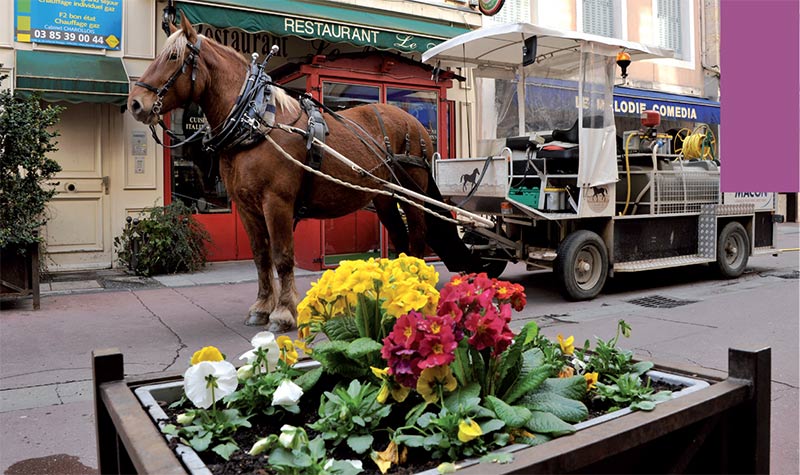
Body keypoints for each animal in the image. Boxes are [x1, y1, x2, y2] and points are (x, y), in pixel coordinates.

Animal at [126, 16, 476, 332]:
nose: (135, 104)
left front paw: (283, 313)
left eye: (173, 57)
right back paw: (393, 286)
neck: (257, 123)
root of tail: (414, 122)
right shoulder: (247, 207)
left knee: (416, 237)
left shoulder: (276, 202)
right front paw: (261, 308)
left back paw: (414, 287)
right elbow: (261, 257)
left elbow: (282, 256)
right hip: (384, 197)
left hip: (410, 194)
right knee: (400, 238)